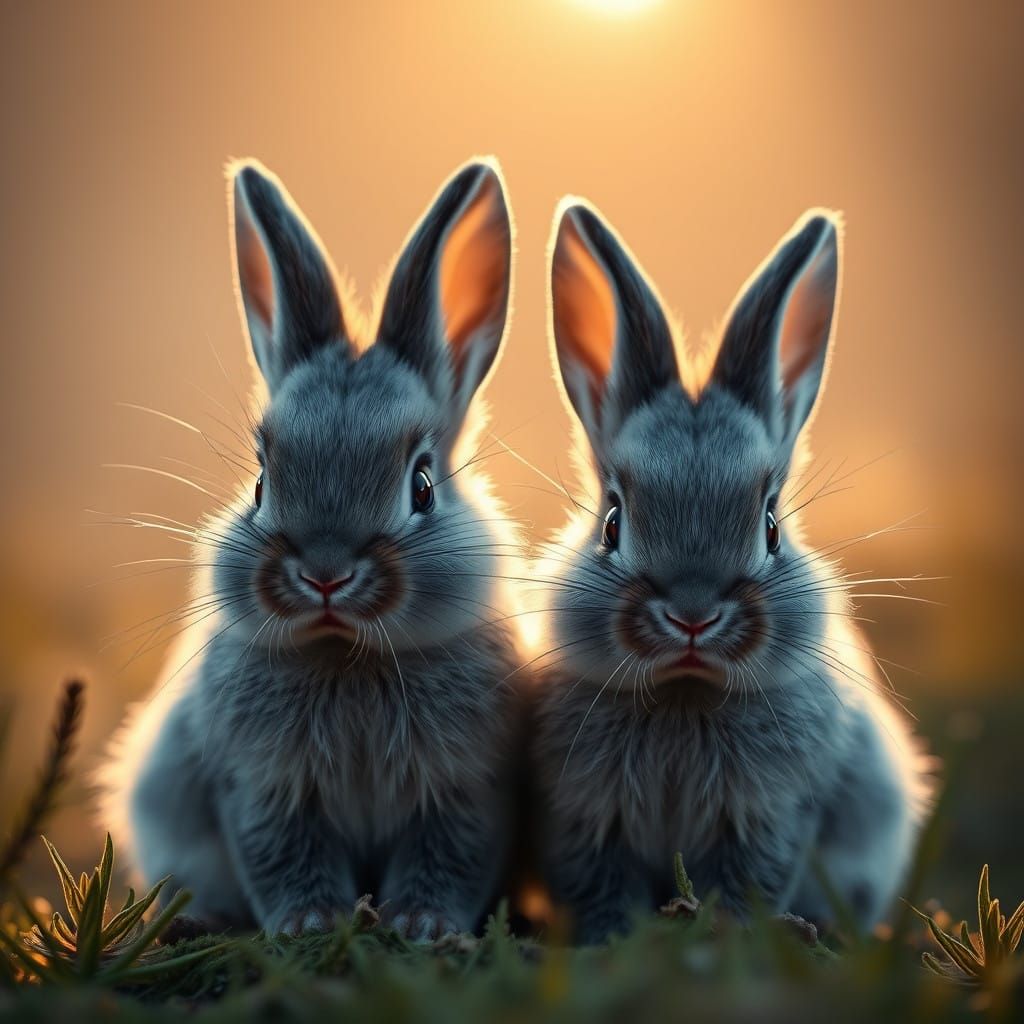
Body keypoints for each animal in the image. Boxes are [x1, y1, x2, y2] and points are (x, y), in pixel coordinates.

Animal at [98, 156, 525, 940]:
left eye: (423, 485)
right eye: (262, 482)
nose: (325, 575)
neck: (345, 651)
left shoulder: (469, 786)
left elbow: (447, 854)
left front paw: (423, 925)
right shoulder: (261, 786)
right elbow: (283, 854)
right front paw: (312, 924)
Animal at [530, 199, 932, 944]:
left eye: (771, 526)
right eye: (612, 523)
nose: (693, 616)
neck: (685, 690)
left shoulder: (768, 817)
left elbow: (744, 880)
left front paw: (725, 933)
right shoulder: (585, 818)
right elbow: (600, 885)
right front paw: (611, 940)